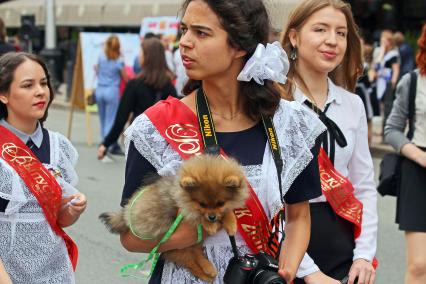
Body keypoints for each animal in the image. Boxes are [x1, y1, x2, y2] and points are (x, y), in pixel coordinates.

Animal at [98, 154, 248, 282]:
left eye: (221, 203)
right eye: (202, 204)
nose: (212, 217)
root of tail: (126, 215)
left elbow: (227, 212)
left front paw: (231, 223)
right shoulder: (183, 209)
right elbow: (197, 216)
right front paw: (209, 224)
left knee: (195, 255)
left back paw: (208, 268)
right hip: (176, 245)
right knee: (189, 260)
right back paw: (207, 272)